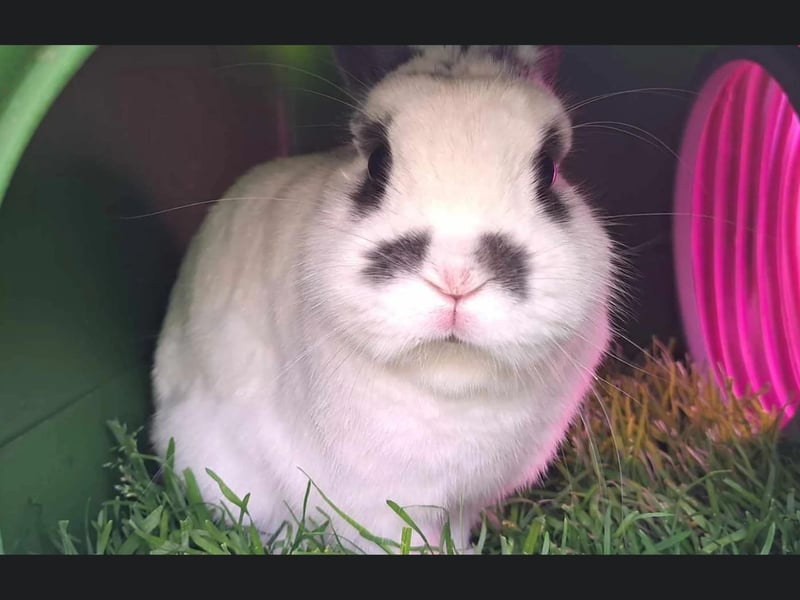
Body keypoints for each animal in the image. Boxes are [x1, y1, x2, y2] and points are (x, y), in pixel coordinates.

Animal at [150, 45, 617, 554]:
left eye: (548, 170)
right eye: (376, 163)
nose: (455, 277)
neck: (450, 378)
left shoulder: (461, 500)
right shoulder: (371, 501)